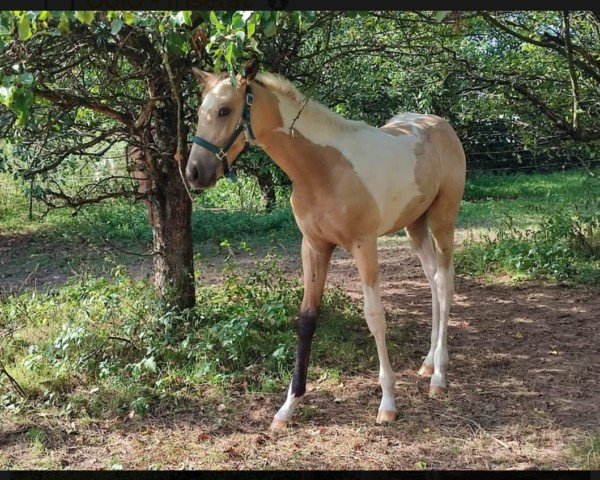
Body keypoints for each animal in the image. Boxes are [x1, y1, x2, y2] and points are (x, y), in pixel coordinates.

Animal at [185, 58, 466, 430]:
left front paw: (388, 402)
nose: (193, 173)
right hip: (415, 227)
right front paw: (288, 406)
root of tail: (438, 123)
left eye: (224, 110)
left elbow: (374, 316)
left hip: (442, 221)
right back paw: (429, 362)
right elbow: (307, 319)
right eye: (200, 111)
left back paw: (439, 376)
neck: (323, 169)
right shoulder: (314, 247)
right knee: (433, 281)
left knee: (445, 283)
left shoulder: (364, 246)